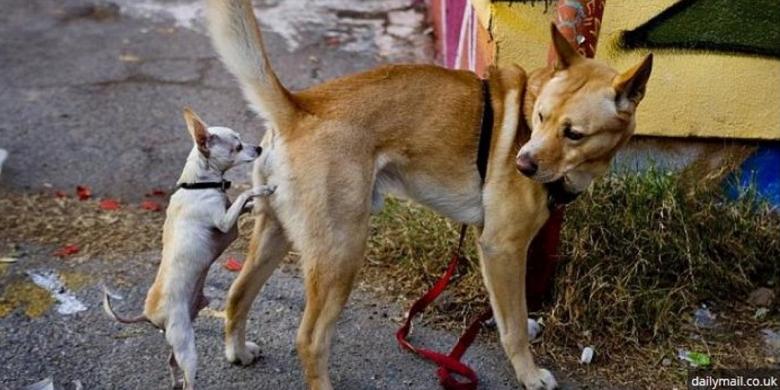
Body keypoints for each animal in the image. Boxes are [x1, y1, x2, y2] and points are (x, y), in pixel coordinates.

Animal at [102, 107, 276, 390]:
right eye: (237, 147)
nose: (259, 148)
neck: (197, 185)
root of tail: (147, 314)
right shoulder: (225, 223)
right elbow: (242, 196)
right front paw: (263, 188)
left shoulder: (229, 215)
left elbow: (242, 203)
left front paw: (257, 201)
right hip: (187, 345)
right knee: (188, 379)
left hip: (180, 338)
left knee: (171, 363)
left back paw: (173, 381)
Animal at [206, 1, 652, 388]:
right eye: (540, 117)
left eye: (573, 133)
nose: (521, 164)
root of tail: (300, 107)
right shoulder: (503, 248)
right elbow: (513, 327)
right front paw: (528, 373)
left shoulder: (496, 249)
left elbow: (510, 312)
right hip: (341, 252)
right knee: (310, 338)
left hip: (276, 233)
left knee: (237, 294)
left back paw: (237, 351)